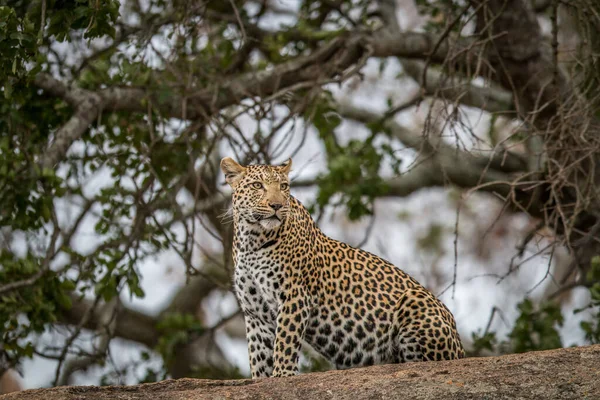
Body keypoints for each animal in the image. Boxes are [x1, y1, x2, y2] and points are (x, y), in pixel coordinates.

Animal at [223, 157, 466, 378]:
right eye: (257, 185)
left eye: (283, 187)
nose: (277, 205)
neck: (252, 240)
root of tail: (461, 349)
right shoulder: (255, 312)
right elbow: (259, 354)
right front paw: (261, 380)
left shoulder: (294, 296)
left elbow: (285, 342)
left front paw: (282, 375)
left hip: (415, 300)